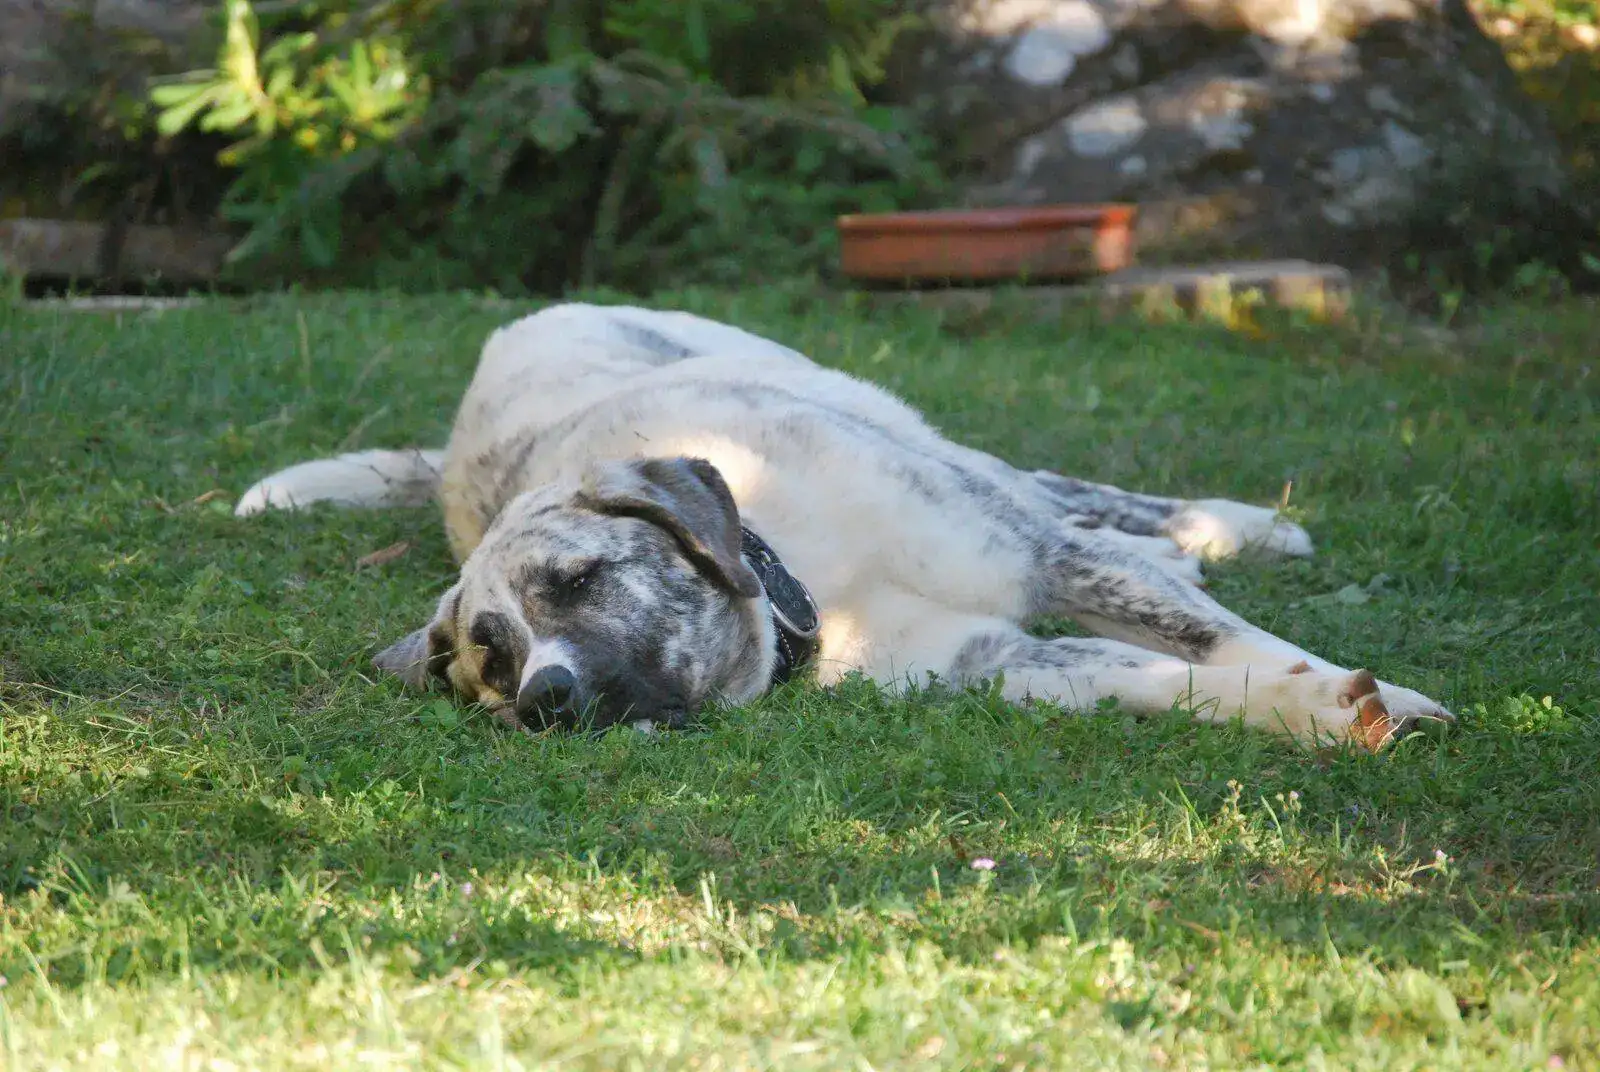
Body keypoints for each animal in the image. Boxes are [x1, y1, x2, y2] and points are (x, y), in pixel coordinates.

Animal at [235, 303, 1454, 747]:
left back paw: (1236, 527)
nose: (545, 701)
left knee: (1068, 491)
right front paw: (1310, 712)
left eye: (577, 584)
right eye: (489, 664)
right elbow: (1169, 679)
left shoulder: (1040, 557)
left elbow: (1230, 638)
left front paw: (1369, 689)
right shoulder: (991, 660)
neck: (811, 584)